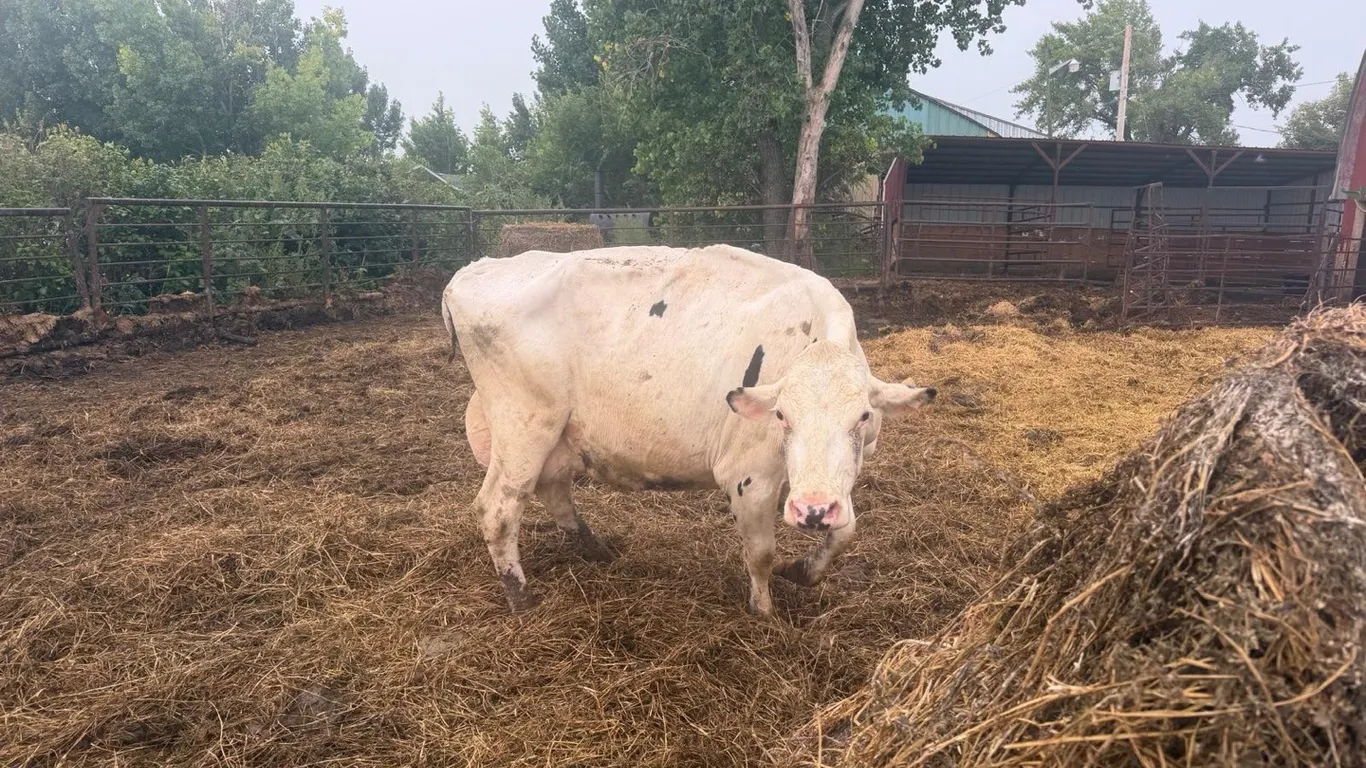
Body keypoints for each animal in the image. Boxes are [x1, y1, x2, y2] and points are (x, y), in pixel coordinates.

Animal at [441, 244, 935, 615]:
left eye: (864, 416)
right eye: (781, 416)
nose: (812, 511)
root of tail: (476, 267)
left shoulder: (839, 478)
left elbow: (846, 531)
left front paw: (802, 571)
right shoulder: (747, 474)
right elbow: (761, 553)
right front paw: (764, 613)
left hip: (556, 433)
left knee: (552, 488)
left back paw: (597, 550)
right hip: (524, 422)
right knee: (498, 508)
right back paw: (522, 598)